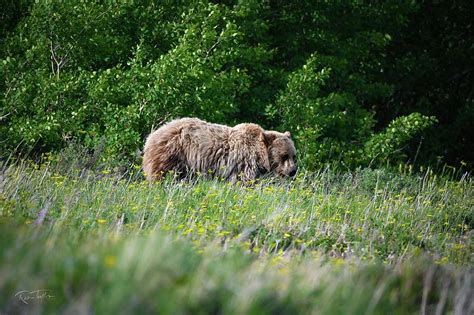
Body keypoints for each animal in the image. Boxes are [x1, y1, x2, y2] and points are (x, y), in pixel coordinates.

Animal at [142, 118, 296, 183]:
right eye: (284, 156)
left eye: (294, 156)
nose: (293, 171)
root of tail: (151, 136)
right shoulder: (244, 162)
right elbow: (243, 181)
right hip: (173, 153)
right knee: (163, 173)